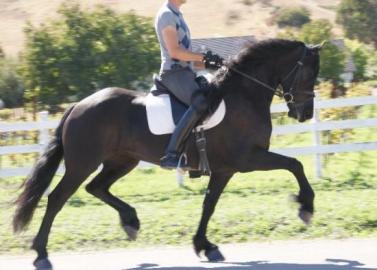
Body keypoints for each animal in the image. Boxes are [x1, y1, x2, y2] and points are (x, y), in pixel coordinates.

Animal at [13, 39, 320, 268]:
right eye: (309, 73)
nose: (305, 113)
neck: (244, 95)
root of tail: (78, 105)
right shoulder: (247, 159)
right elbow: (295, 164)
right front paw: (305, 206)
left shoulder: (224, 170)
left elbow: (209, 204)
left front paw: (204, 246)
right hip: (83, 163)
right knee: (56, 198)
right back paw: (41, 254)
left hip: (122, 161)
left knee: (96, 188)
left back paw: (130, 221)